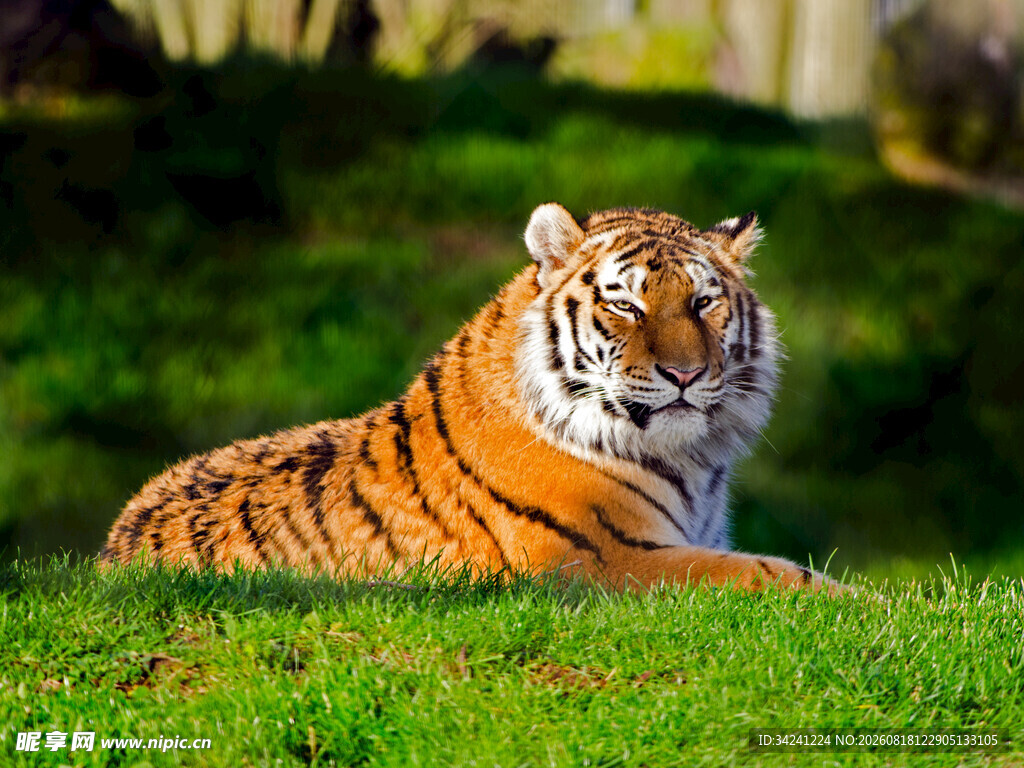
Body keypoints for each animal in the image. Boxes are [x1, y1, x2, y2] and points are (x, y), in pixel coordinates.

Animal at [101, 203, 841, 593]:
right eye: (626, 304)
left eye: (703, 302)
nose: (685, 374)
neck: (690, 462)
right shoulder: (606, 560)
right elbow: (780, 576)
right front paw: (863, 604)